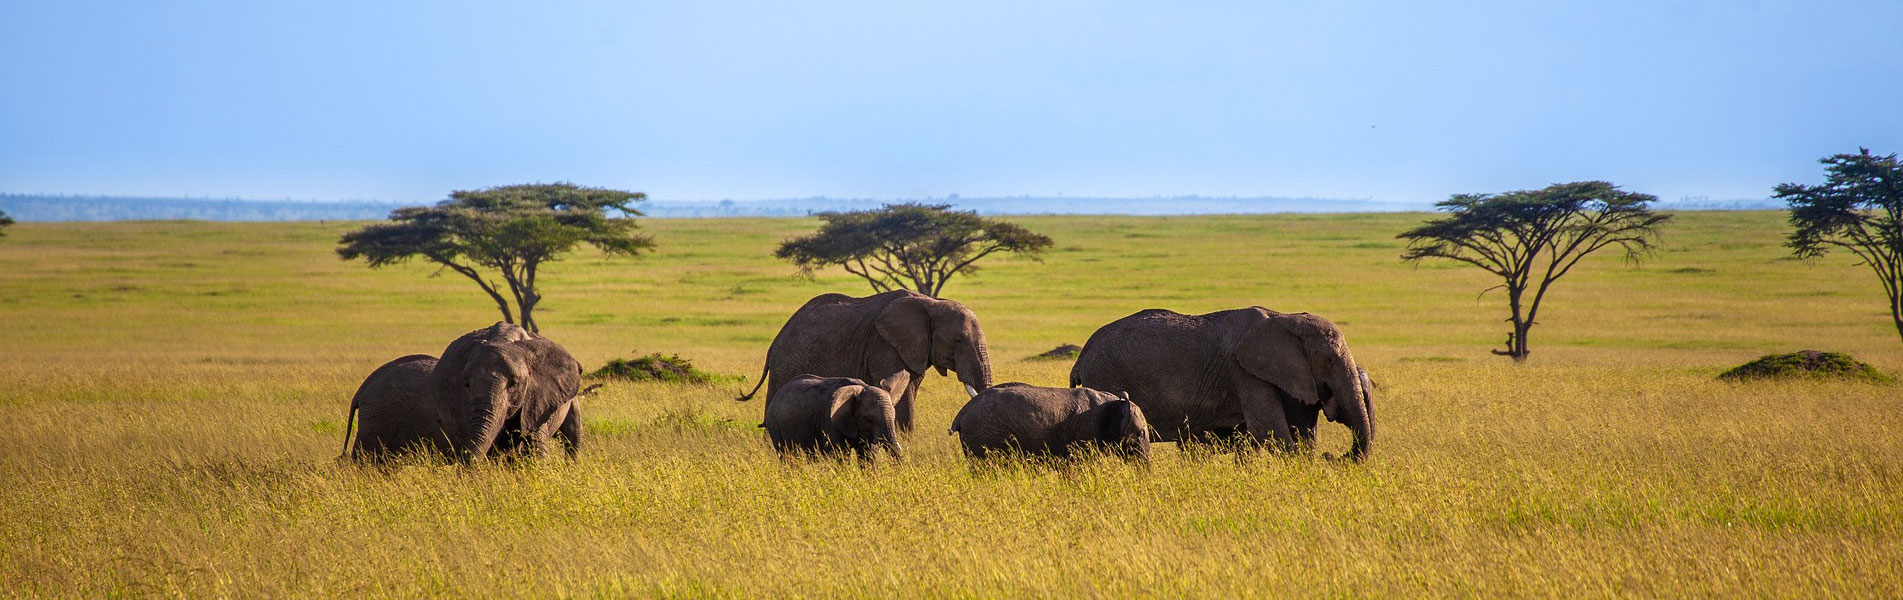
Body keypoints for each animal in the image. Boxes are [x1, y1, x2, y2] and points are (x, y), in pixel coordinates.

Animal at [734, 289, 997, 432]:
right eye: (958, 340)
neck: (932, 302)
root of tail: (774, 344)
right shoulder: (885, 346)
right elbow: (903, 399)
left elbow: (909, 390)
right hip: (788, 364)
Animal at [761, 371, 909, 460]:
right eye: (868, 419)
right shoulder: (829, 421)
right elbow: (841, 454)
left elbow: (867, 455)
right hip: (774, 423)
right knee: (786, 454)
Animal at [1065, 308, 1377, 462]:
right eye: (1330, 360)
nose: (1332, 456)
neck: (1287, 318)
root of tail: (1080, 360)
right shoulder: (1246, 373)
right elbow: (1270, 431)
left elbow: (1299, 432)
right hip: (1106, 376)